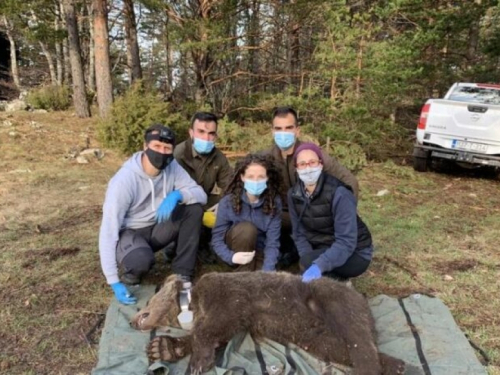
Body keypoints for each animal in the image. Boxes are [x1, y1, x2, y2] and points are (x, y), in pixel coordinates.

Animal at [130, 272, 406, 374]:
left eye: (148, 301)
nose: (133, 319)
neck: (191, 304)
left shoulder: (227, 296)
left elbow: (210, 328)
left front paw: (197, 362)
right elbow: (218, 333)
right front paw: (162, 347)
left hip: (333, 297)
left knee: (357, 336)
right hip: (314, 337)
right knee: (342, 348)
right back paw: (397, 364)